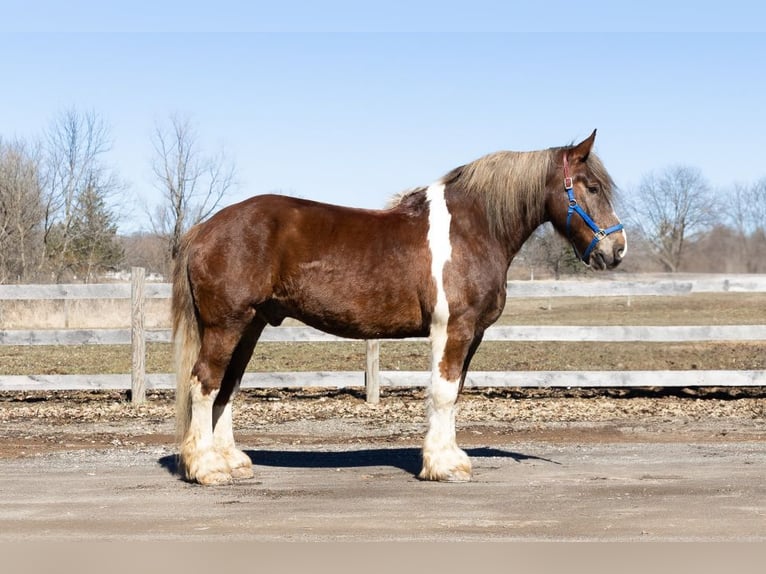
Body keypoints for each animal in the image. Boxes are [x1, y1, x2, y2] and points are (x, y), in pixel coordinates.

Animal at [173, 130, 626, 485]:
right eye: (591, 186)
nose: (617, 249)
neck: (472, 230)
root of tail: (203, 229)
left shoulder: (473, 334)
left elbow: (455, 393)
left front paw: (449, 458)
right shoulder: (454, 329)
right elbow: (443, 392)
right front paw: (442, 466)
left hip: (250, 325)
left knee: (227, 387)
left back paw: (231, 461)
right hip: (226, 325)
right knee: (205, 383)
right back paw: (207, 469)